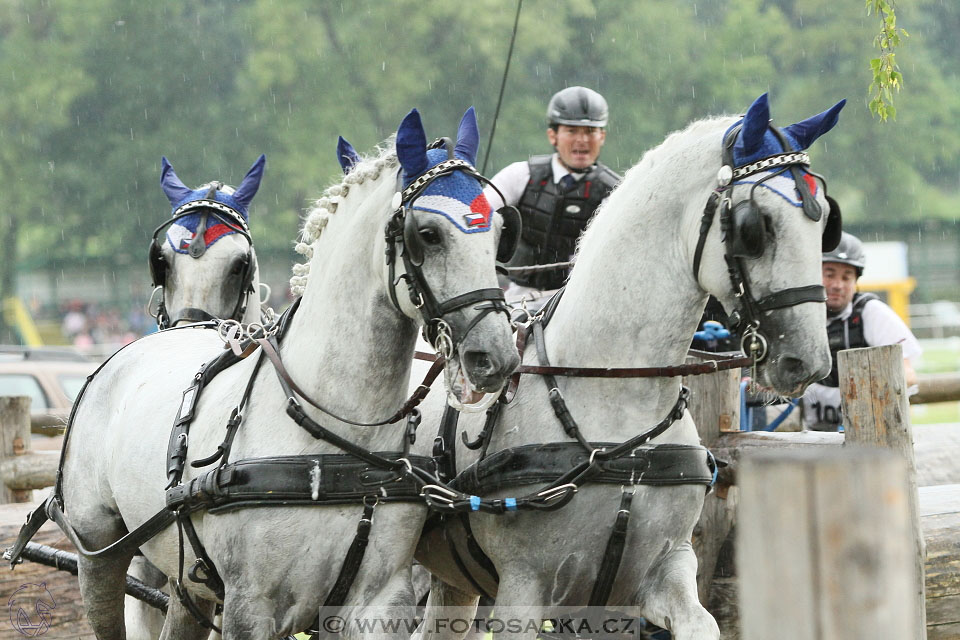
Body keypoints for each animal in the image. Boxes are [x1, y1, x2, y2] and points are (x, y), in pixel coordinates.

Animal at [416, 92, 844, 636]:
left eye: (825, 222)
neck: (613, 391)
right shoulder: (524, 588)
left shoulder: (659, 572)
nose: (806, 360)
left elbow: (702, 624)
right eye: (755, 226)